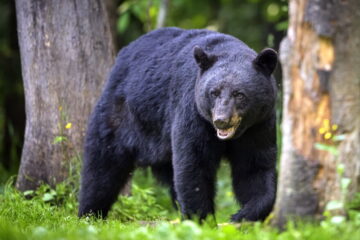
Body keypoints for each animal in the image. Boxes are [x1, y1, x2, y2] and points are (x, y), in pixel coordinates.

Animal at [77, 27, 278, 222]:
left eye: (239, 94)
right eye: (214, 92)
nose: (221, 120)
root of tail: (122, 54)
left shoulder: (259, 125)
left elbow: (255, 167)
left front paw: (243, 215)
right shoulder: (193, 112)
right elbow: (193, 164)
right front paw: (201, 219)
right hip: (121, 115)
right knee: (102, 166)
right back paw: (89, 214)